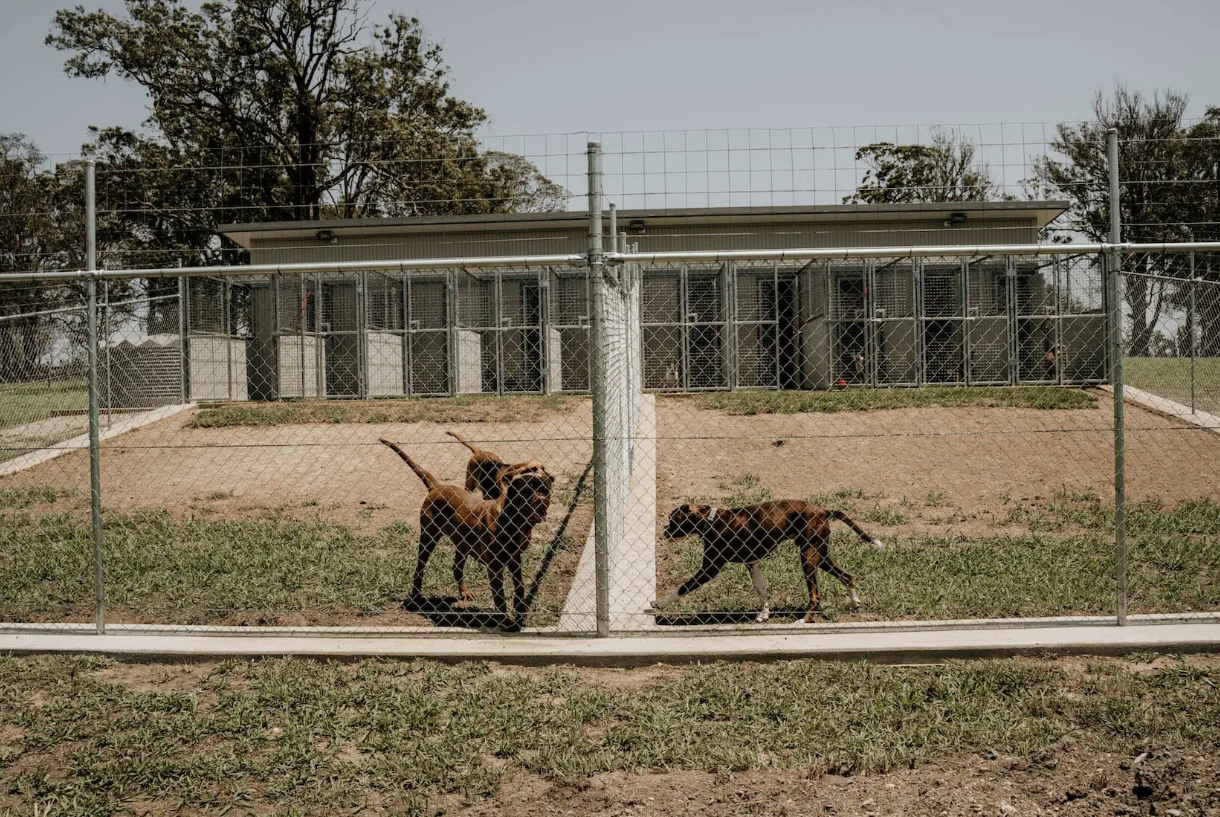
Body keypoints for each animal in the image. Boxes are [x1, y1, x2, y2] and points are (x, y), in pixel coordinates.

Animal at [653, 499, 883, 629]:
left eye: (674, 520)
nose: (664, 531)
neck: (710, 521)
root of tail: (824, 511)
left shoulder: (710, 569)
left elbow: (682, 588)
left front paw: (658, 604)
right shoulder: (752, 564)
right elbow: (762, 591)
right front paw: (764, 613)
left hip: (808, 559)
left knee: (816, 595)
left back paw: (804, 620)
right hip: (820, 556)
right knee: (847, 576)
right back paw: (855, 602)